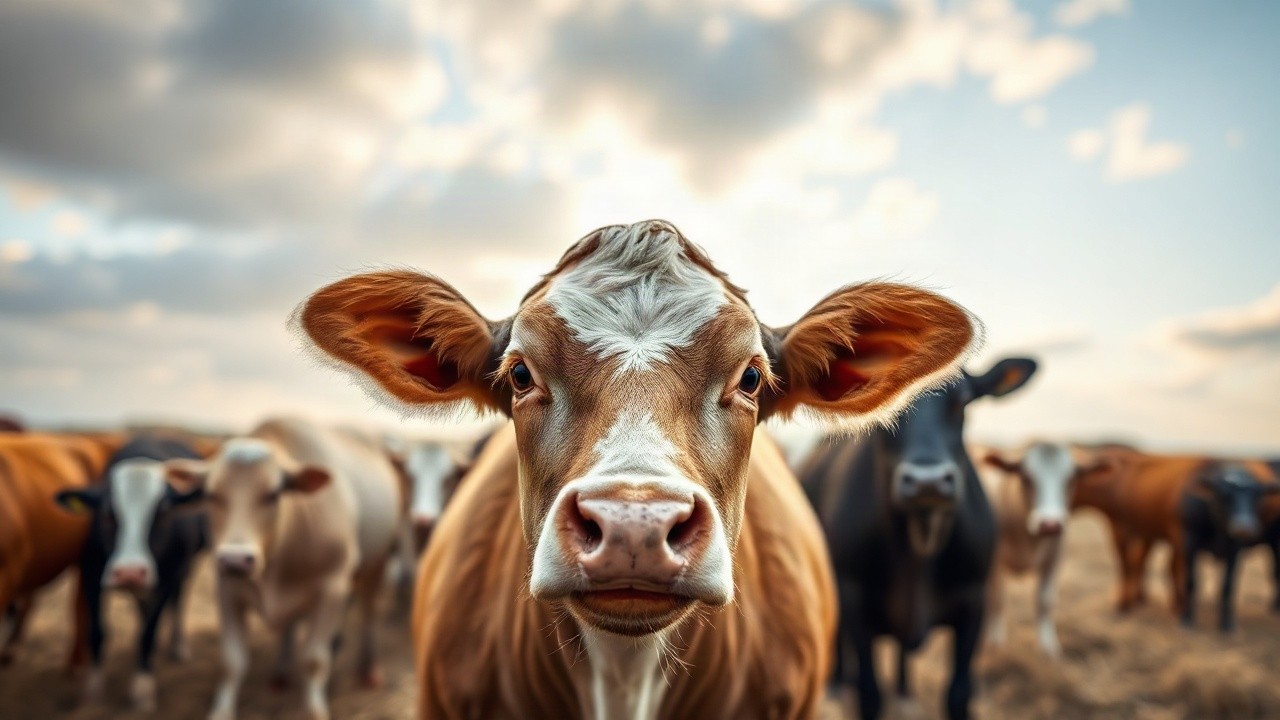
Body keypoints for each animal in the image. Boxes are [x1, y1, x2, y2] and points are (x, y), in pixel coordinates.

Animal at [54, 436, 208, 711]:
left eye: (162, 514)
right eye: (107, 514)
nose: (130, 573)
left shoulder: (167, 580)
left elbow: (148, 633)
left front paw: (143, 690)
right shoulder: (91, 573)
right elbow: (97, 632)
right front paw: (93, 691)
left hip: (186, 568)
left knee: (179, 600)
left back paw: (178, 646)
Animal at [162, 418, 403, 720]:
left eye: (273, 494)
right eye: (212, 494)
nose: (236, 559)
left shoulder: (333, 588)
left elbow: (314, 659)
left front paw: (315, 710)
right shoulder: (227, 587)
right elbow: (232, 661)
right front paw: (222, 711)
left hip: (377, 563)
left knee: (370, 611)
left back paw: (369, 671)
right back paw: (280, 674)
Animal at [799, 357, 1037, 720]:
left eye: (963, 400)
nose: (928, 482)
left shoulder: (975, 601)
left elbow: (958, 693)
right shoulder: (853, 597)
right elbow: (869, 693)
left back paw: (904, 693)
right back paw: (838, 685)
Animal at [977, 441, 1113, 656]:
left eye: (1071, 479)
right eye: (1026, 477)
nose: (1050, 525)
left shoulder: (1055, 556)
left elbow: (1045, 600)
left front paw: (1048, 647)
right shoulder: (995, 560)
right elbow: (997, 598)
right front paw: (997, 643)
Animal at [1179, 461, 1279, 632]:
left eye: (1257, 496)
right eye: (1224, 495)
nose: (1244, 527)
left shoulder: (1235, 550)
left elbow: (1228, 586)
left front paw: (1226, 624)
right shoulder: (1190, 542)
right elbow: (1191, 581)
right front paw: (1187, 619)